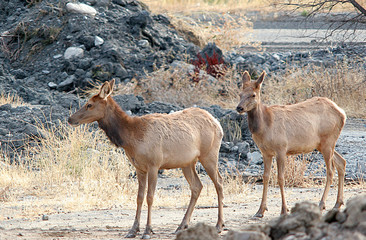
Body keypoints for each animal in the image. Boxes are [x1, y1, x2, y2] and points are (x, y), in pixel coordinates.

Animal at [67, 80, 224, 238]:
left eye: (89, 104)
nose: (70, 119)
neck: (131, 137)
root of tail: (218, 124)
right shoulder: (139, 167)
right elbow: (139, 197)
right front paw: (133, 230)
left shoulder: (154, 165)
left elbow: (150, 197)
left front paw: (148, 230)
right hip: (187, 163)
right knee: (197, 186)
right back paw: (182, 225)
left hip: (209, 155)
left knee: (219, 182)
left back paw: (219, 225)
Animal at [236, 71, 348, 218]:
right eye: (240, 93)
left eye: (253, 94)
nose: (239, 107)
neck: (264, 126)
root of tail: (343, 114)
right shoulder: (265, 152)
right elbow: (265, 177)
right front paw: (260, 210)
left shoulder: (281, 149)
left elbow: (280, 178)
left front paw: (284, 210)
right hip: (323, 144)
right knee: (341, 162)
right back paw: (337, 203)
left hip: (328, 141)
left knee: (330, 171)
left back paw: (321, 204)